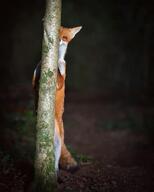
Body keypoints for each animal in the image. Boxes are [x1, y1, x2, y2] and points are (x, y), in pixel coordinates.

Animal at [32, 25, 82, 172]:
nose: (59, 40)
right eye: (57, 33)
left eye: (64, 37)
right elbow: (35, 73)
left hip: (59, 140)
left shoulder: (60, 83)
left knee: (57, 158)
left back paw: (54, 172)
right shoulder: (34, 81)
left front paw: (60, 63)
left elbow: (62, 70)